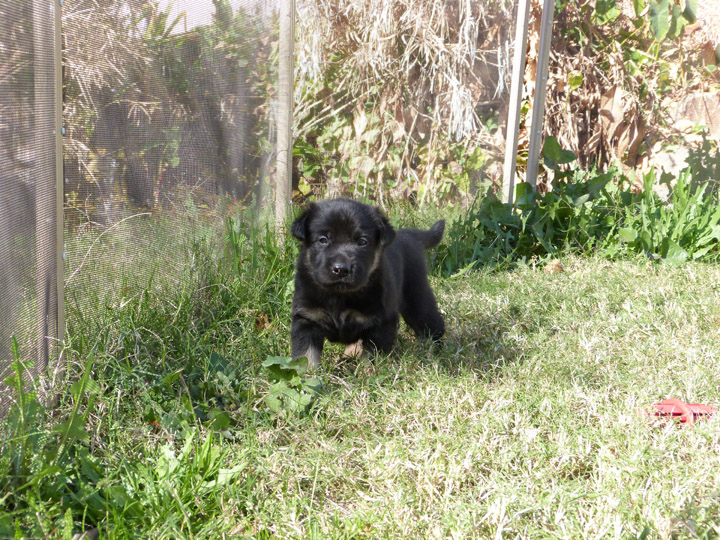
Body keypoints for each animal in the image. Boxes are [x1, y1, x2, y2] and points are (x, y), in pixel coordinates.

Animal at [290, 199, 442, 372]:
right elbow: (306, 356)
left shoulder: (381, 322)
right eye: (323, 239)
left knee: (431, 323)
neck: (339, 294)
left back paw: (432, 352)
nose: (341, 269)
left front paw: (367, 374)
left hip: (416, 297)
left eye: (362, 241)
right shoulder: (306, 319)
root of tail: (410, 235)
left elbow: (371, 357)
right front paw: (308, 376)